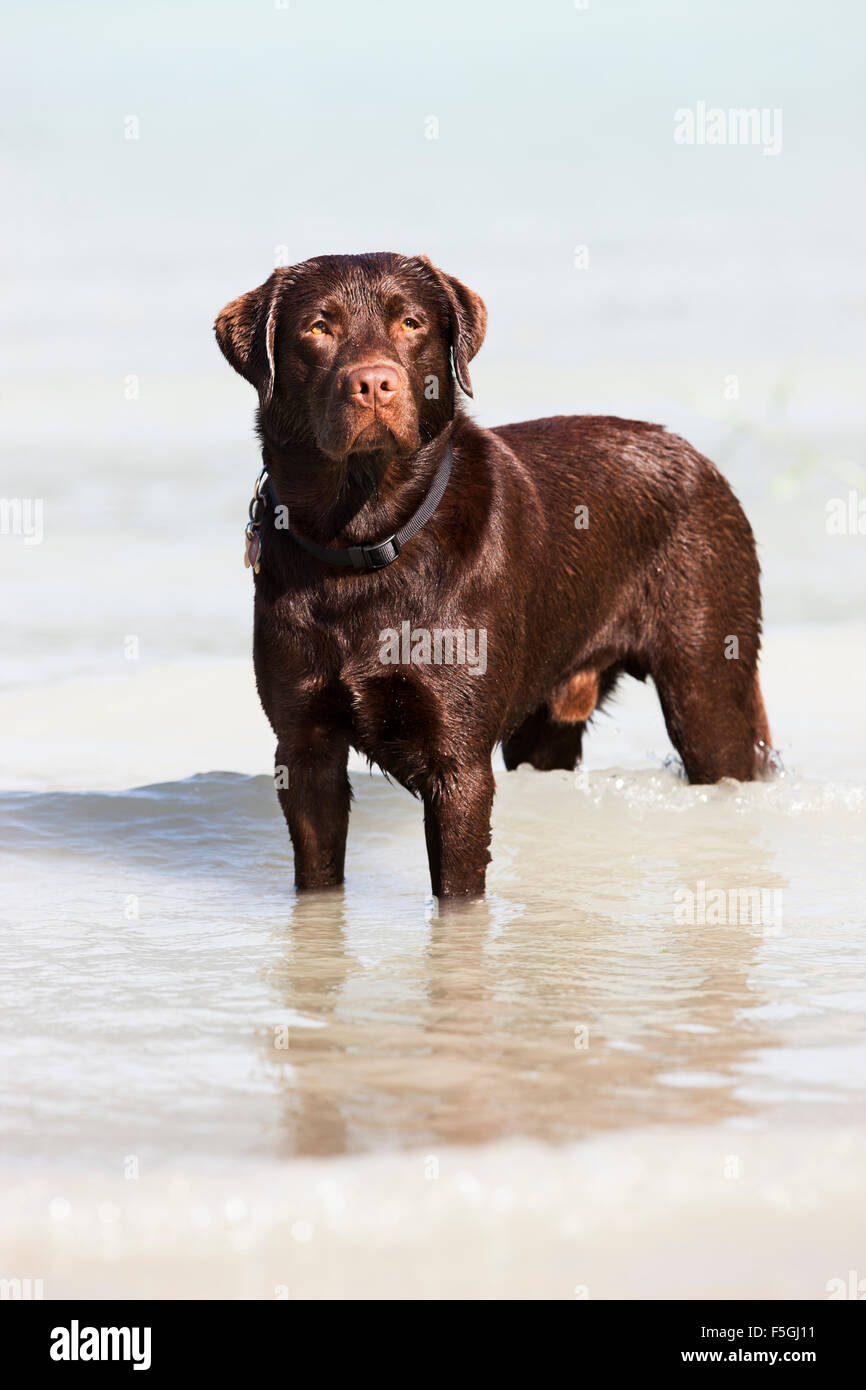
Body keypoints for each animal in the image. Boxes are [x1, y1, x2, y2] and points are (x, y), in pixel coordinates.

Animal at [215, 251, 772, 900]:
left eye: (411, 323)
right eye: (318, 328)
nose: (374, 383)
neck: (362, 543)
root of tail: (703, 461)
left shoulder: (458, 762)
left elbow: (457, 893)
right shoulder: (303, 748)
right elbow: (318, 877)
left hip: (708, 685)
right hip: (549, 722)